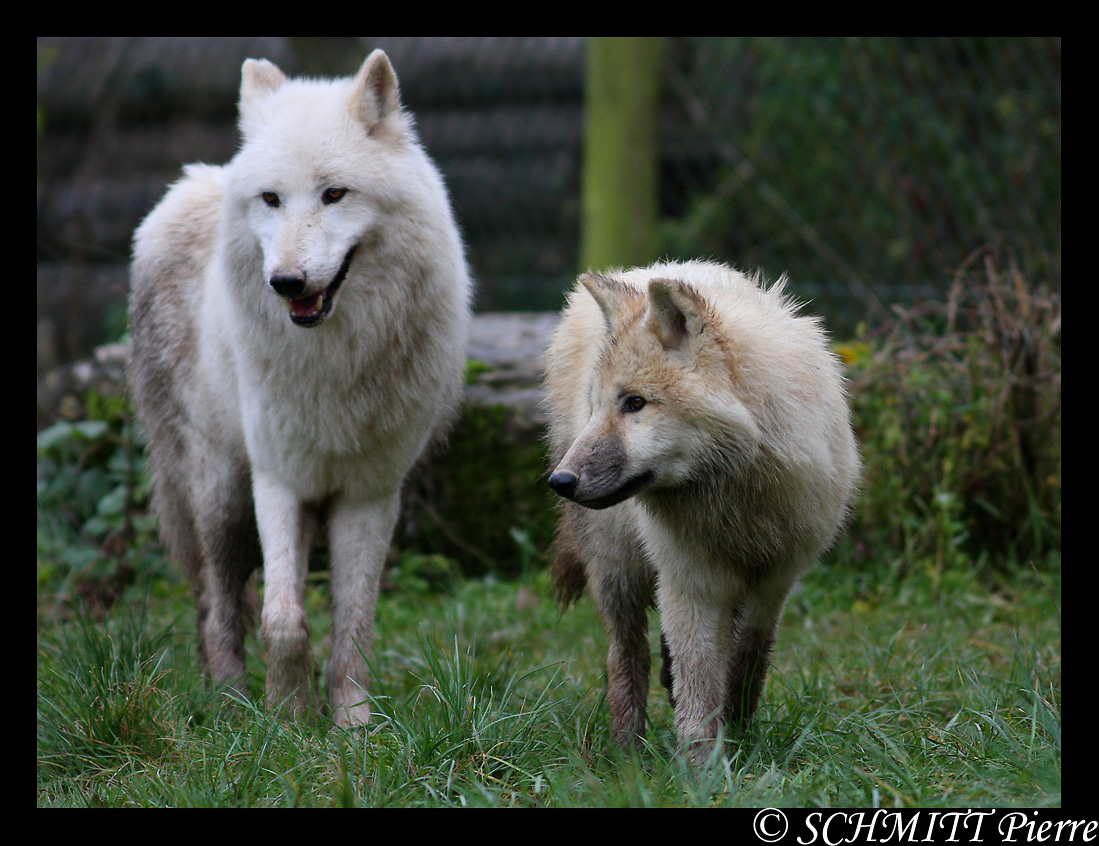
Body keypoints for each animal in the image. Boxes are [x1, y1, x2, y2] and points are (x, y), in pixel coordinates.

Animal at [128, 51, 472, 725]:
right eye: (271, 199)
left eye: (334, 193)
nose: (286, 282)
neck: (334, 361)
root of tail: (194, 183)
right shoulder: (278, 478)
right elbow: (282, 619)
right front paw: (287, 718)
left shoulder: (370, 492)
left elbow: (354, 624)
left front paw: (351, 725)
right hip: (220, 493)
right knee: (219, 601)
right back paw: (230, 701)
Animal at [545, 257, 861, 755]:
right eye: (598, 407)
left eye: (635, 403)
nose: (560, 481)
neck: (738, 495)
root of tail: (651, 267)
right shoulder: (691, 581)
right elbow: (698, 685)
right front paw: (702, 765)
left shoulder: (775, 581)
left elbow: (747, 663)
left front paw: (741, 737)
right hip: (618, 569)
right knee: (626, 655)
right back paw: (624, 753)